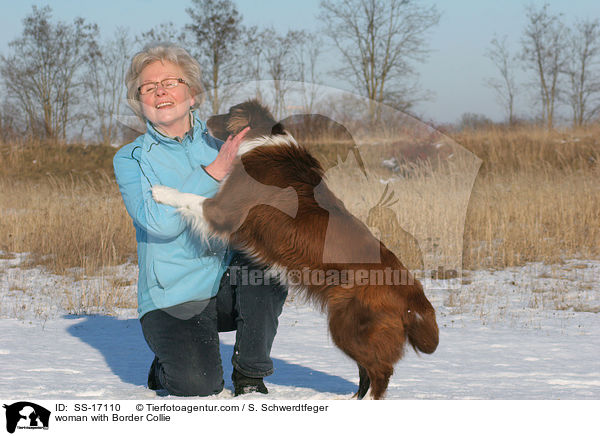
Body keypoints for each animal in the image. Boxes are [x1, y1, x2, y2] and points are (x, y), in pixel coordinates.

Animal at [152, 99, 438, 398]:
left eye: (229, 112)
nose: (204, 118)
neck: (262, 138)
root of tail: (411, 290)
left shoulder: (224, 211)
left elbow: (187, 197)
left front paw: (161, 191)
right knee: (367, 371)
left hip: (348, 326)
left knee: (380, 371)